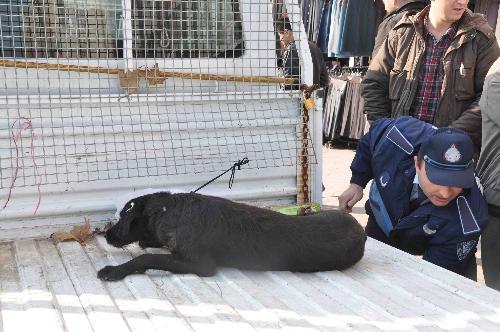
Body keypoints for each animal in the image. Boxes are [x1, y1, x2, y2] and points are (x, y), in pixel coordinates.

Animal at [97, 192, 366, 280]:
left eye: (122, 218)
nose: (107, 234)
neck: (168, 210)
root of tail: (360, 231)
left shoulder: (202, 264)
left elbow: (147, 258)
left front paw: (115, 270)